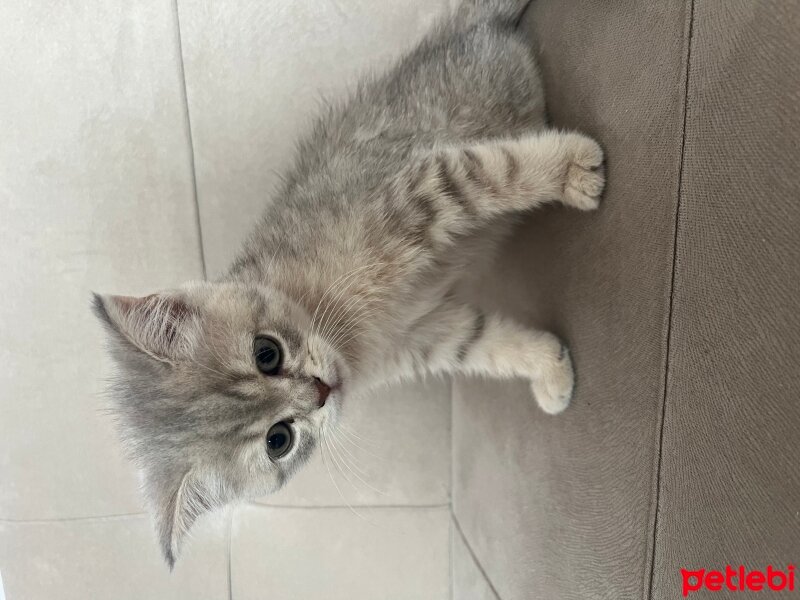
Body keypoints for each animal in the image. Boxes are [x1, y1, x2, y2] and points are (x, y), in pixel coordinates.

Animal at [94, 0, 608, 568]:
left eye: (266, 353)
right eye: (278, 440)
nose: (320, 391)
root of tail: (456, 36)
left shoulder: (416, 194)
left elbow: (490, 173)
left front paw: (569, 168)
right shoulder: (426, 333)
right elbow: (486, 342)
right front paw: (549, 368)